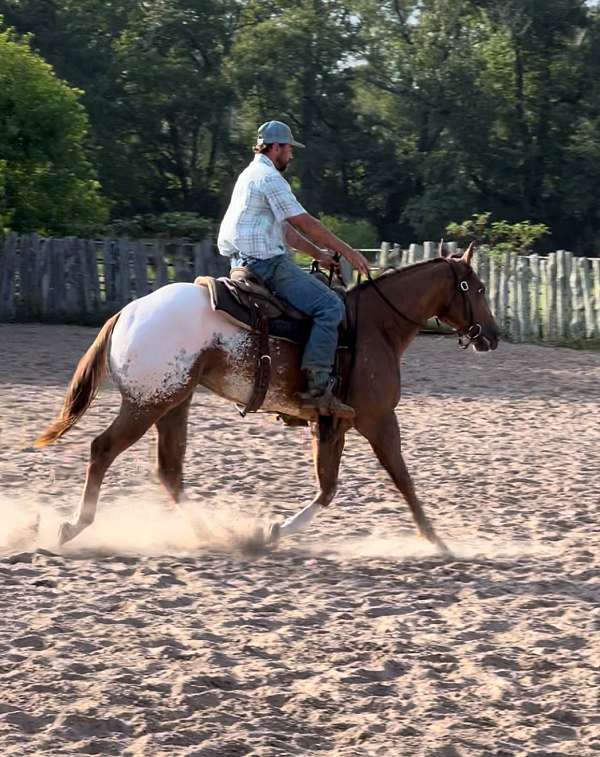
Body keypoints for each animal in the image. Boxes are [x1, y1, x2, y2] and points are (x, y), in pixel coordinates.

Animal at [35, 244, 500, 556]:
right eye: (476, 288)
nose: (491, 336)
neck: (374, 325)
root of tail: (127, 312)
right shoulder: (378, 419)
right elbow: (400, 480)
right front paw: (436, 540)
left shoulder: (330, 424)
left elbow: (328, 487)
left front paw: (271, 532)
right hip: (147, 404)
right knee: (103, 449)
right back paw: (74, 526)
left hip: (173, 403)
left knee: (169, 471)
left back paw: (215, 533)